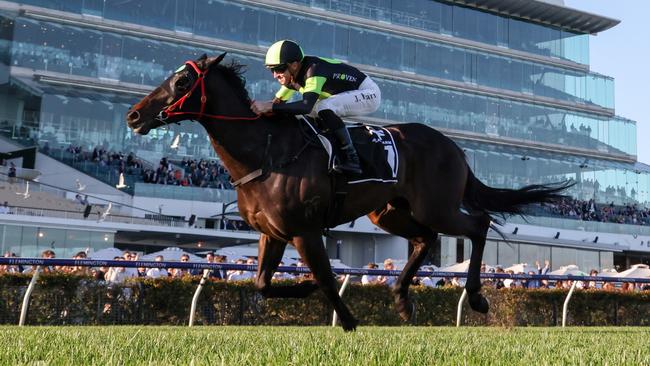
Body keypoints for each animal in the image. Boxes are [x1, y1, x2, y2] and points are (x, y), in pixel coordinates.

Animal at [125, 54, 568, 332]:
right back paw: (402, 299)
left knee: (478, 224)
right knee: (426, 239)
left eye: (182, 80)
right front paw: (305, 290)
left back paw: (476, 297)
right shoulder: (272, 233)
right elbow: (263, 284)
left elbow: (324, 276)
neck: (264, 151)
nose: (133, 115)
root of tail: (453, 147)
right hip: (388, 212)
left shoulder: (305, 231)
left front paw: (348, 320)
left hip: (436, 205)